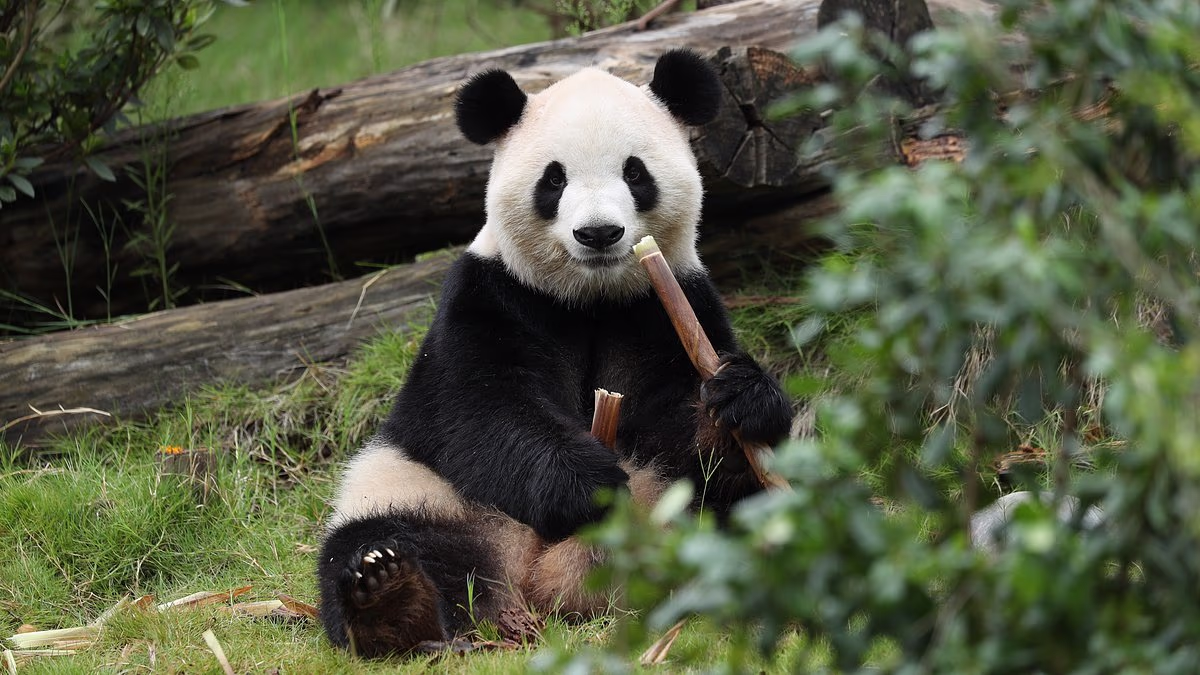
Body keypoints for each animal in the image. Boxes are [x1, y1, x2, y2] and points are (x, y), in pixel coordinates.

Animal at [317, 49, 794, 657]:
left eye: (635, 173)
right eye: (554, 178)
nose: (599, 233)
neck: (590, 298)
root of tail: (538, 586)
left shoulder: (668, 303)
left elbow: (678, 419)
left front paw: (736, 401)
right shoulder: (490, 296)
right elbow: (479, 409)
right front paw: (586, 484)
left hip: (672, 508)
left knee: (738, 509)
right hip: (421, 491)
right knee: (382, 539)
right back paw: (392, 599)